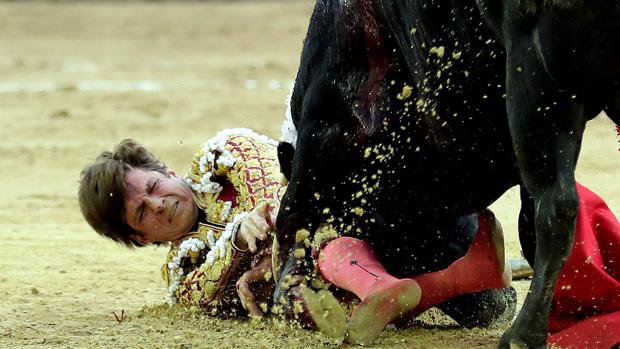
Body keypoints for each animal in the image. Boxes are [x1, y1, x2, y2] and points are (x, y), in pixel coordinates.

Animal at [274, 1, 620, 346]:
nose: (497, 305)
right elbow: (526, 222)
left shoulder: (326, 127)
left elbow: (292, 217)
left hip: (536, 75)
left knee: (557, 208)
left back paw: (522, 334)